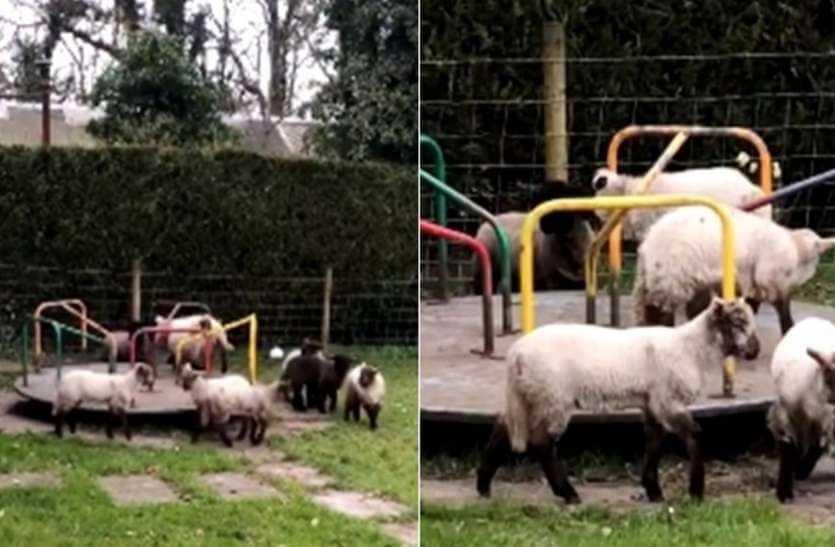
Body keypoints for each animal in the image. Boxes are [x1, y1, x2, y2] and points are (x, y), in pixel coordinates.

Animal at [476, 297, 760, 504]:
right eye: (737, 323)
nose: (755, 350)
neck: (691, 349)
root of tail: (516, 354)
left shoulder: (652, 403)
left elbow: (654, 442)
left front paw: (654, 491)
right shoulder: (667, 400)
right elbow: (694, 434)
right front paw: (696, 492)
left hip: (530, 396)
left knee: (503, 429)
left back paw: (483, 486)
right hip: (553, 396)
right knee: (542, 443)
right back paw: (568, 494)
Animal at [634, 206, 835, 334]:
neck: (796, 248)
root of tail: (647, 243)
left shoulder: (750, 279)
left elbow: (751, 303)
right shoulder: (772, 279)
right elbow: (783, 308)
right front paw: (789, 330)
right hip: (671, 276)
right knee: (661, 312)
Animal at [767, 317, 835, 502]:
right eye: (828, 374)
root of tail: (815, 319)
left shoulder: (826, 420)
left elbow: (817, 446)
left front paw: (801, 470)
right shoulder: (786, 412)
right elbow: (788, 448)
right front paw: (784, 492)